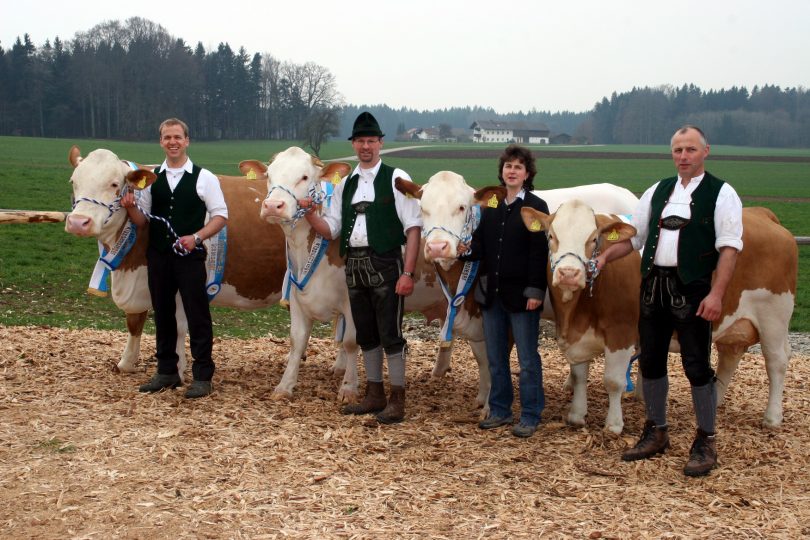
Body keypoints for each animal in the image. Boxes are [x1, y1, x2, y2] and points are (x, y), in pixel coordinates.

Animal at [64, 146, 288, 380]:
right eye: (73, 181)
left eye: (114, 184)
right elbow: (135, 321)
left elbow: (178, 326)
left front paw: (177, 371)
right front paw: (126, 363)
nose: (78, 222)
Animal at [521, 201, 797, 432]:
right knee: (730, 356)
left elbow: (613, 381)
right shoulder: (579, 336)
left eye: (594, 239)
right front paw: (577, 415)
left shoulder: (621, 331)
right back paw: (714, 402)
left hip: (774, 316)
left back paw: (772, 418)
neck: (576, 312)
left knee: (776, 362)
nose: (569, 274)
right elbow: (579, 375)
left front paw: (613, 425)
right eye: (550, 236)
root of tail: (761, 214)